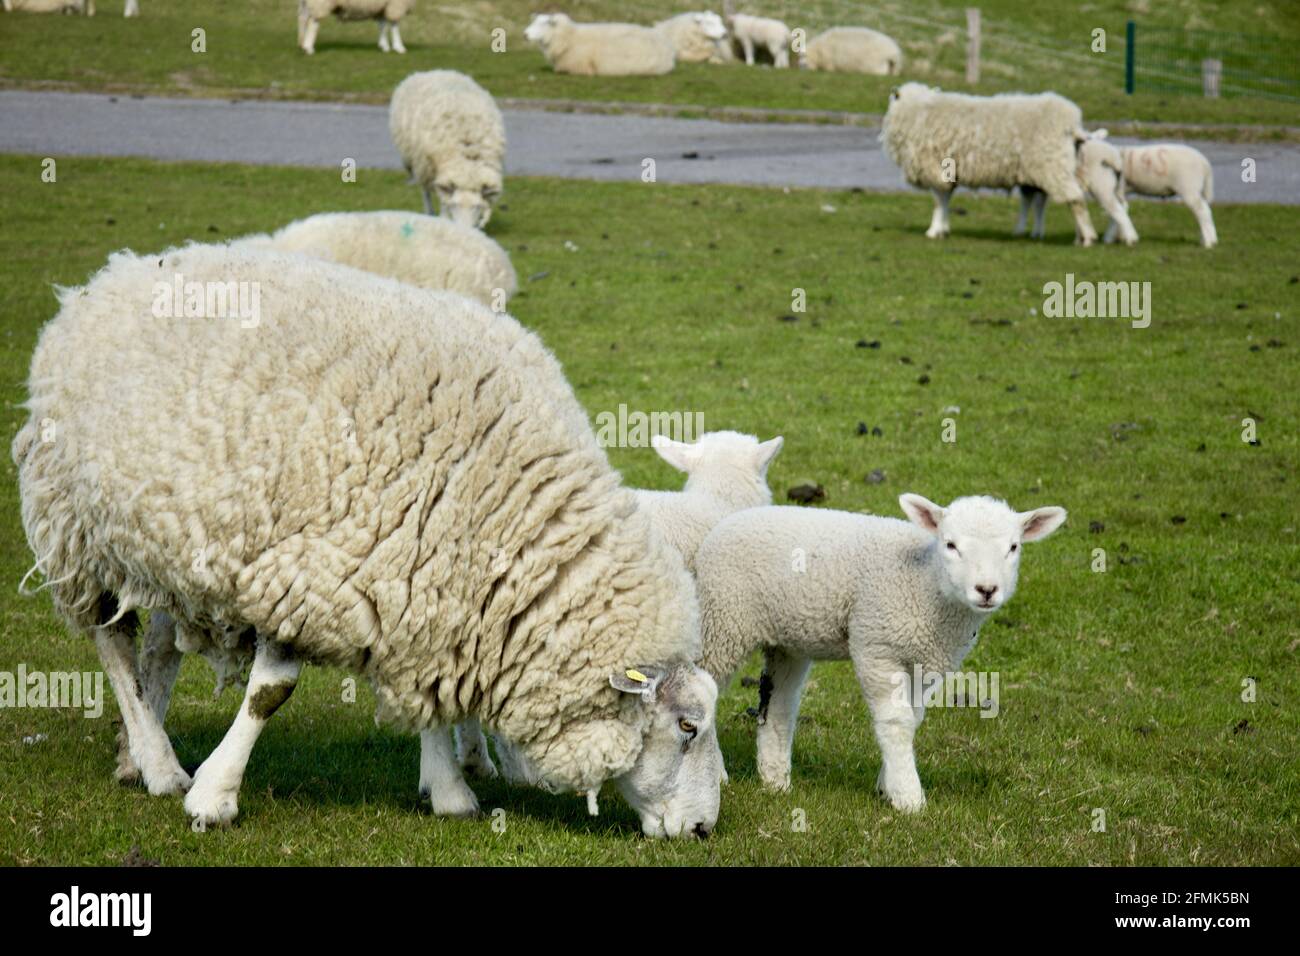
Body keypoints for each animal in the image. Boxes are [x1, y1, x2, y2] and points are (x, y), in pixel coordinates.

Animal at [13, 242, 724, 837]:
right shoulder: (305, 574)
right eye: (687, 727)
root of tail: (109, 278)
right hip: (78, 526)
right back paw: (160, 766)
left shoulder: (427, 591)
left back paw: (137, 755)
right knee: (110, 642)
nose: (702, 829)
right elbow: (270, 693)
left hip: (170, 544)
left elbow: (429, 696)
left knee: (158, 648)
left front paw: (448, 791)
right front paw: (214, 797)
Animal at [389, 70, 506, 228]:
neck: (467, 160)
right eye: (454, 205)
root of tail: (434, 72)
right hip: (421, 165)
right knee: (425, 190)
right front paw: (444, 218)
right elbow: (443, 201)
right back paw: (430, 212)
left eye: (476, 206)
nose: (464, 230)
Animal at [693, 494, 1066, 810]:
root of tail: (727, 524)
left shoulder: (925, 661)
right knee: (703, 692)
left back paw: (775, 780)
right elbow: (896, 720)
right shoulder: (877, 645)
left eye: (1013, 547)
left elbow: (913, 719)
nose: (987, 590)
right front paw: (908, 797)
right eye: (950, 544)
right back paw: (716, 775)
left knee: (779, 704)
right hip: (722, 620)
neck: (926, 584)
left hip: (787, 638)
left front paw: (888, 785)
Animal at [881, 82, 1099, 245]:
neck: (919, 109)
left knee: (1076, 199)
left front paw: (934, 230)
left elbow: (938, 201)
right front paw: (944, 228)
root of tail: (1072, 124)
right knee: (1040, 200)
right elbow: (946, 200)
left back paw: (1087, 237)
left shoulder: (935, 168)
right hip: (1043, 168)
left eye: (893, 98)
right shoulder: (949, 172)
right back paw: (1046, 234)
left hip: (1052, 165)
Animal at [1081, 133, 1216, 248]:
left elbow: (1116, 212)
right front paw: (1111, 238)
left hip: (1189, 187)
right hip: (1195, 189)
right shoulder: (1119, 191)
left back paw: (1208, 242)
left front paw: (1113, 237)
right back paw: (1208, 239)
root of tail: (1205, 163)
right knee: (1205, 210)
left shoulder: (1115, 189)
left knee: (1202, 211)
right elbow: (1118, 212)